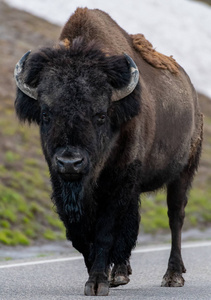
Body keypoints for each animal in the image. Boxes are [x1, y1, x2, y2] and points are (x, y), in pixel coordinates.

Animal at [13, 7, 203, 298]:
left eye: (101, 115)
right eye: (46, 113)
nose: (71, 162)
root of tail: (193, 97)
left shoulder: (117, 181)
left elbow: (105, 230)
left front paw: (97, 282)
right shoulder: (63, 184)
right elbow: (81, 233)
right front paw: (103, 274)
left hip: (183, 171)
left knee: (175, 217)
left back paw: (172, 276)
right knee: (134, 221)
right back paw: (121, 273)